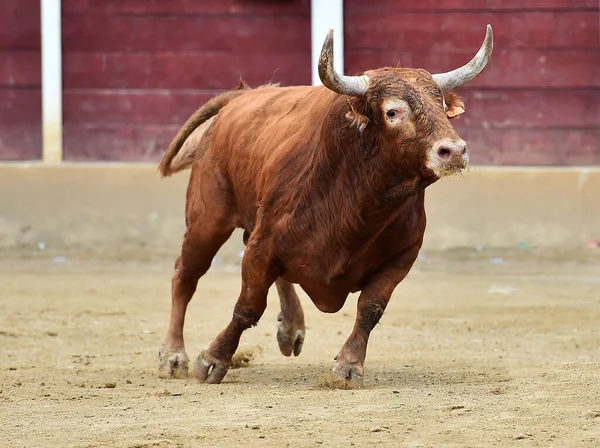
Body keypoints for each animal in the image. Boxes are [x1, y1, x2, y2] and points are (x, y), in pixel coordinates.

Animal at [158, 27, 492, 384]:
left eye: (442, 105)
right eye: (392, 112)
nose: (453, 150)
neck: (362, 206)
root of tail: (240, 98)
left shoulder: (402, 255)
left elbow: (370, 308)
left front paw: (349, 365)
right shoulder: (263, 245)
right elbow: (247, 307)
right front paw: (213, 359)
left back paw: (291, 328)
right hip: (207, 218)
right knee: (185, 275)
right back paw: (173, 356)